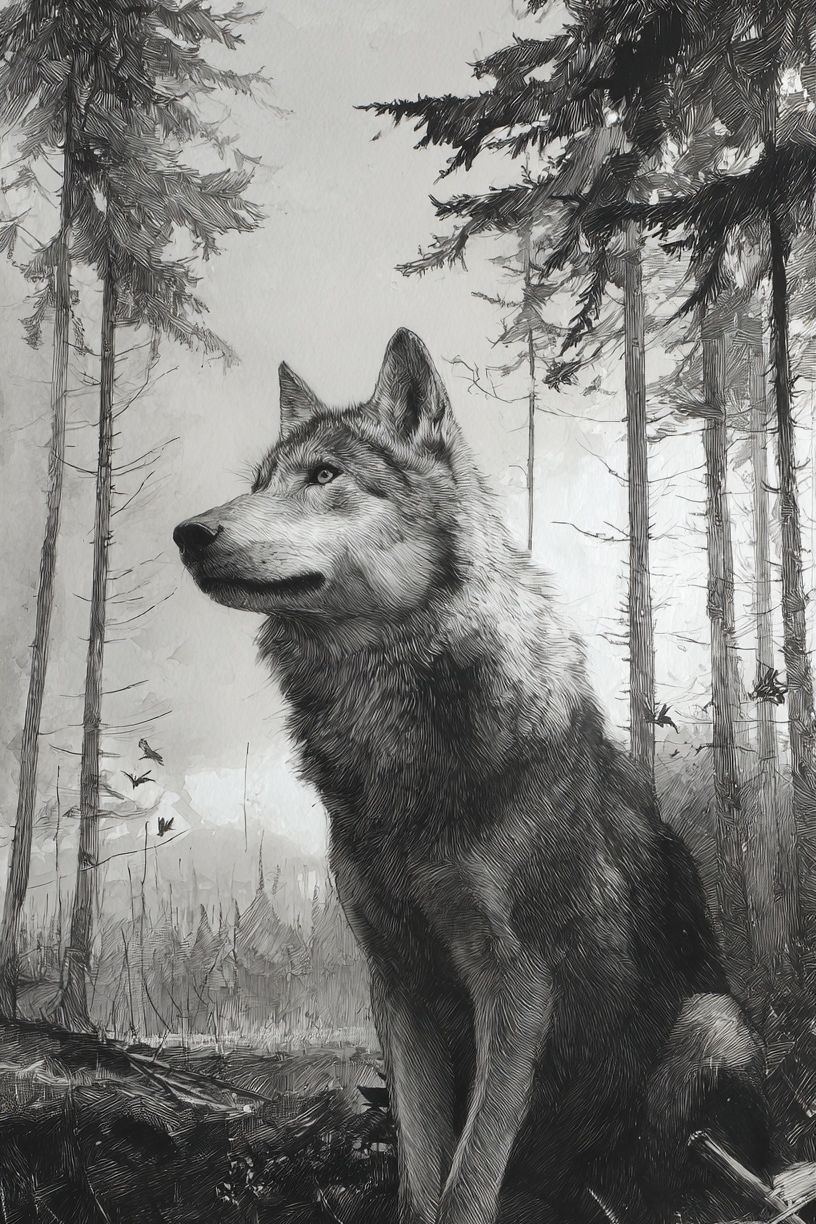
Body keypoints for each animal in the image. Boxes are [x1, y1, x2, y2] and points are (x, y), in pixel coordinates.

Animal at [175, 330, 770, 1224]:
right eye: (261, 482)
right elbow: (422, 1177)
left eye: (324, 476)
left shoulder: (515, 986)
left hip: (711, 1024)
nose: (189, 532)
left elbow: (468, 1179)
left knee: (664, 1165)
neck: (394, 737)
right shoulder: (398, 986)